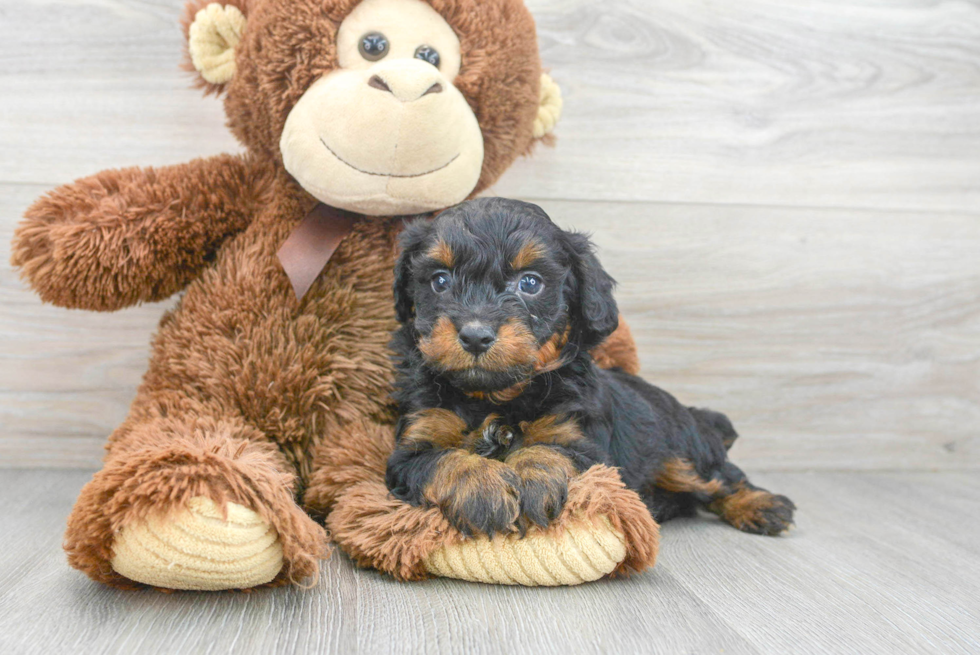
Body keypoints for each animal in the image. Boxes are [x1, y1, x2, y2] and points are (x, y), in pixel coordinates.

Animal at [384, 199, 796, 540]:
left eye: (530, 283)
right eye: (440, 280)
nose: (474, 335)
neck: (495, 397)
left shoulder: (581, 438)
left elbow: (550, 450)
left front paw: (531, 481)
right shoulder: (412, 446)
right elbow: (442, 460)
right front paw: (482, 489)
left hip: (682, 450)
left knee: (720, 478)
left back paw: (761, 506)